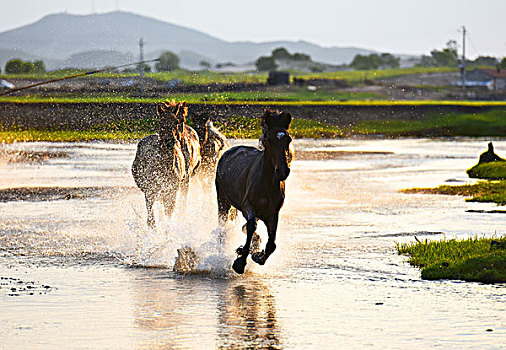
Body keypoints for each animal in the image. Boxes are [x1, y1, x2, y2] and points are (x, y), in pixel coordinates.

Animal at [215, 109, 294, 274]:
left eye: (288, 139)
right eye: (269, 140)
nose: (283, 171)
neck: (267, 182)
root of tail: (228, 152)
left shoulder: (272, 213)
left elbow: (271, 243)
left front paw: (257, 255)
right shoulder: (248, 206)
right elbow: (251, 226)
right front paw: (240, 262)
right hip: (223, 201)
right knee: (223, 227)